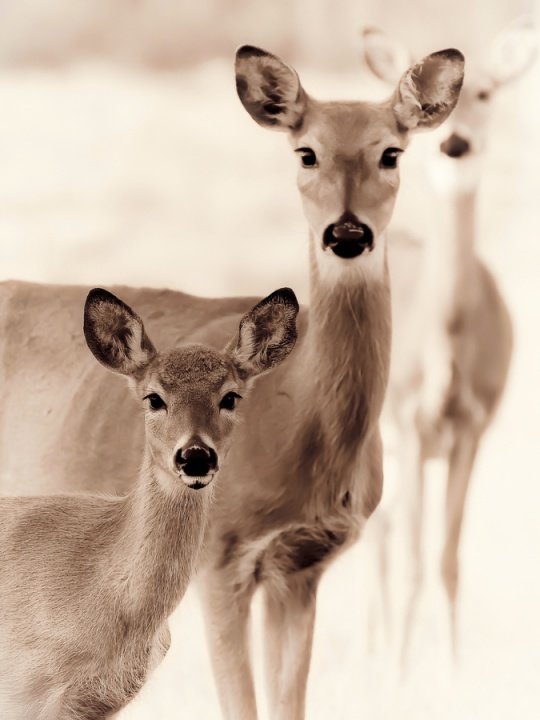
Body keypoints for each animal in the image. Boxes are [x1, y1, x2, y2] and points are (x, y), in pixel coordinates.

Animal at [358, 19, 536, 664]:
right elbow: (413, 560)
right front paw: (401, 672)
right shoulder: (412, 424)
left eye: (486, 93)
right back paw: (373, 653)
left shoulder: (471, 427)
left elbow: (448, 560)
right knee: (373, 541)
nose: (454, 143)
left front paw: (454, 670)